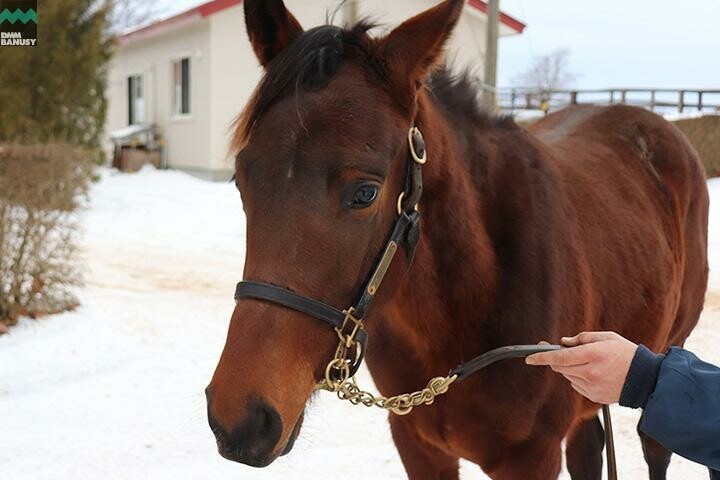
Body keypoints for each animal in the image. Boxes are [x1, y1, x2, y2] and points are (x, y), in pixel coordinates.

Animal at [204, 1, 708, 478]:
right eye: (242, 180)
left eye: (365, 193)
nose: (240, 419)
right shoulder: (417, 446)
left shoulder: (533, 459)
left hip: (666, 350)